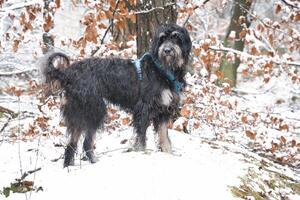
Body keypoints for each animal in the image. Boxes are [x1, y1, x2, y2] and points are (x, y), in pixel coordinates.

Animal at [41, 23, 192, 167]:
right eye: (162, 39)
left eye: (176, 37)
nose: (167, 50)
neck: (163, 70)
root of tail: (68, 73)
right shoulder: (143, 110)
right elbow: (141, 139)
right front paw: (142, 154)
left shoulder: (164, 111)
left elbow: (164, 138)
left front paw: (169, 155)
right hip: (94, 110)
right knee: (86, 142)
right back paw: (93, 162)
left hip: (80, 112)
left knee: (72, 143)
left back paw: (69, 166)